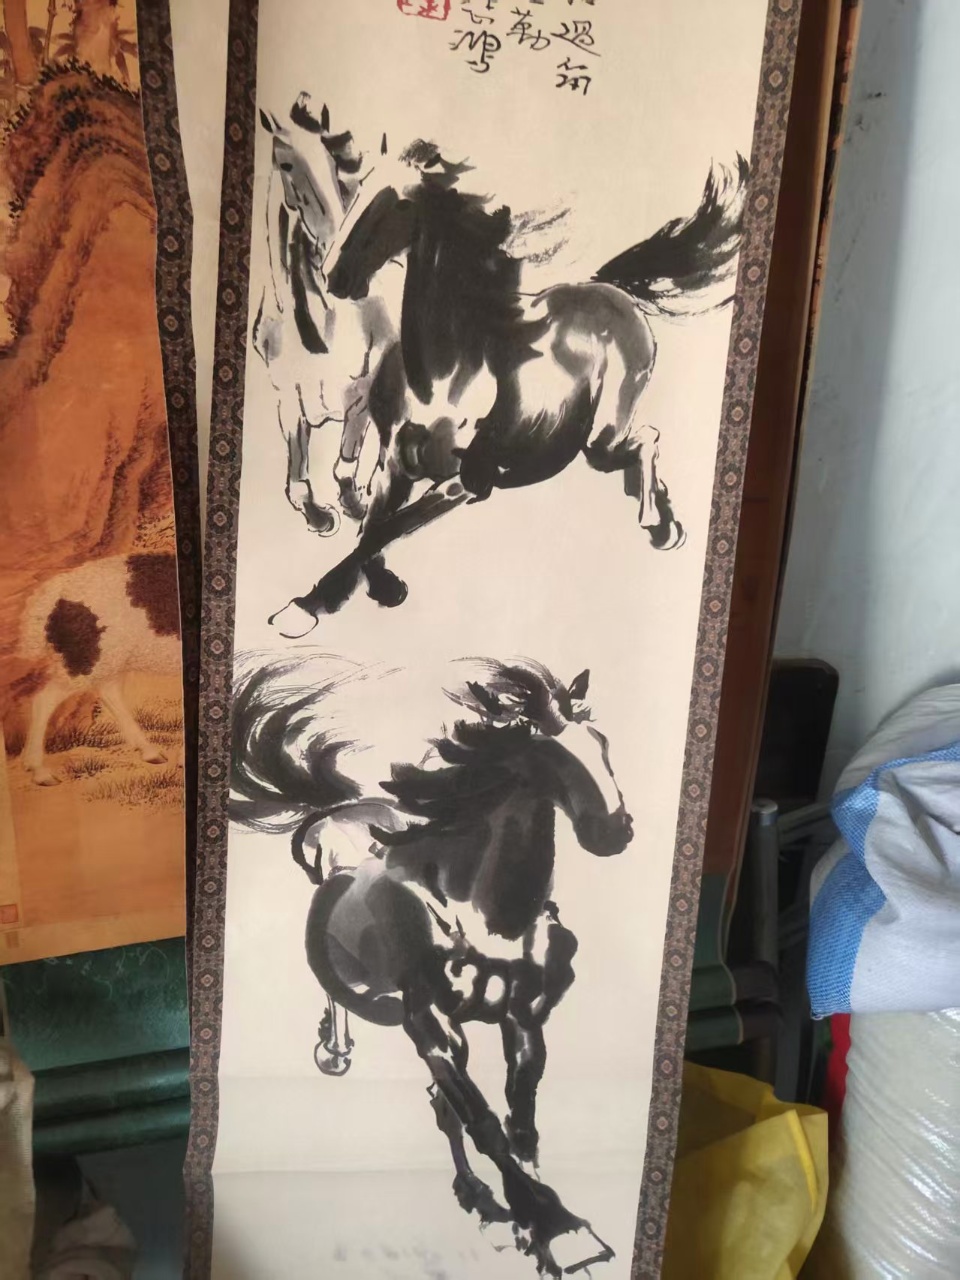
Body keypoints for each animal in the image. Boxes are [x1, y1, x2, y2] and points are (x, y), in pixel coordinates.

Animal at [230, 651, 634, 1277]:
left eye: (602, 741)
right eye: (548, 756)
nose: (614, 831)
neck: (482, 910)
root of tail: (342, 809)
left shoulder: (523, 1020)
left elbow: (519, 1123)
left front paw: (538, 1224)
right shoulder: (435, 1027)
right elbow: (484, 1123)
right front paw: (554, 1227)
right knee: (341, 1000)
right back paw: (336, 1049)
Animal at [253, 95, 399, 534]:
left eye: (336, 165)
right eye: (285, 164)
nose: (336, 259)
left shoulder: (362, 392)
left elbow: (348, 457)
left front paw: (354, 502)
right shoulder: (287, 395)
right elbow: (298, 464)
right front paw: (316, 514)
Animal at [267, 135, 749, 638]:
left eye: (401, 203)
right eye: (359, 188)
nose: (335, 275)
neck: (443, 380)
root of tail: (611, 289)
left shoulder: (467, 483)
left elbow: (386, 529)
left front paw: (304, 608)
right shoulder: (393, 468)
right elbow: (373, 529)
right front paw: (377, 585)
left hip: (601, 438)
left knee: (645, 440)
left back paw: (659, 525)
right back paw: (661, 517)